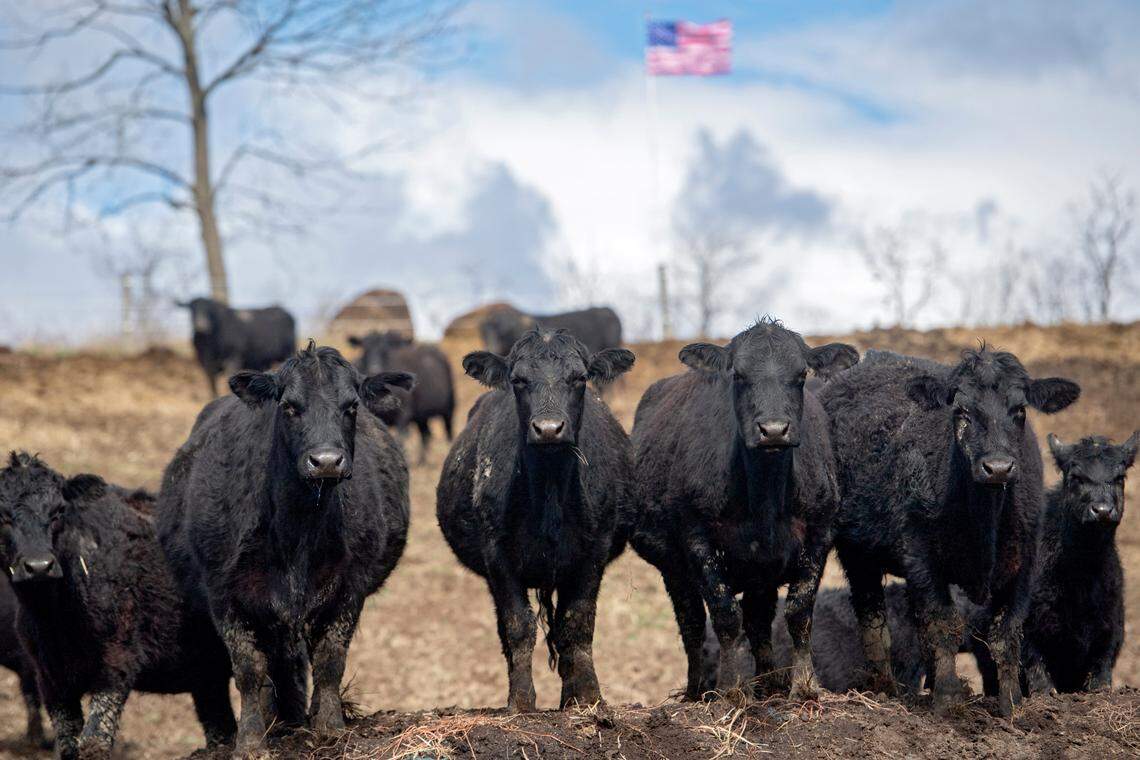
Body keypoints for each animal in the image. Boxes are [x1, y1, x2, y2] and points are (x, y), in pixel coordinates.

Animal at [156, 343, 412, 755]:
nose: (326, 462)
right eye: (290, 406)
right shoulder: (224, 594)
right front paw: (250, 741)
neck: (297, 529)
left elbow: (329, 659)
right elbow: (248, 670)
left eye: (351, 406)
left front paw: (329, 728)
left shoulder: (349, 588)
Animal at [348, 331, 456, 464]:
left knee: (448, 431)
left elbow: (400, 439)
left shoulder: (404, 416)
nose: (375, 367)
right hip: (421, 417)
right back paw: (422, 460)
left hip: (449, 408)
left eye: (386, 350)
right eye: (365, 348)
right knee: (426, 434)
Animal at [436, 329, 635, 712]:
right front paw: (521, 701)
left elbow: (577, 623)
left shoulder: (594, 552)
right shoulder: (497, 556)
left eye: (579, 378)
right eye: (518, 380)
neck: (550, 491)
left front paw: (587, 698)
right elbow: (518, 625)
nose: (548, 429)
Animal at [631, 318, 859, 701]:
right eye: (738, 375)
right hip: (673, 566)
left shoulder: (819, 532)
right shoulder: (698, 537)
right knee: (692, 621)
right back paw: (697, 690)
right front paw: (730, 688)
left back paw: (769, 683)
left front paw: (803, 686)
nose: (773, 430)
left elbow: (798, 612)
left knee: (758, 619)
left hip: (759, 571)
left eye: (801, 374)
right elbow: (724, 615)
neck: (764, 496)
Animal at [818, 347, 1080, 715]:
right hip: (858, 553)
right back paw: (886, 689)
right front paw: (946, 699)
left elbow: (1006, 632)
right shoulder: (922, 556)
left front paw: (1011, 703)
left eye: (1020, 410)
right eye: (962, 411)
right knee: (874, 622)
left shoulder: (1025, 563)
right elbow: (943, 624)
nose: (998, 467)